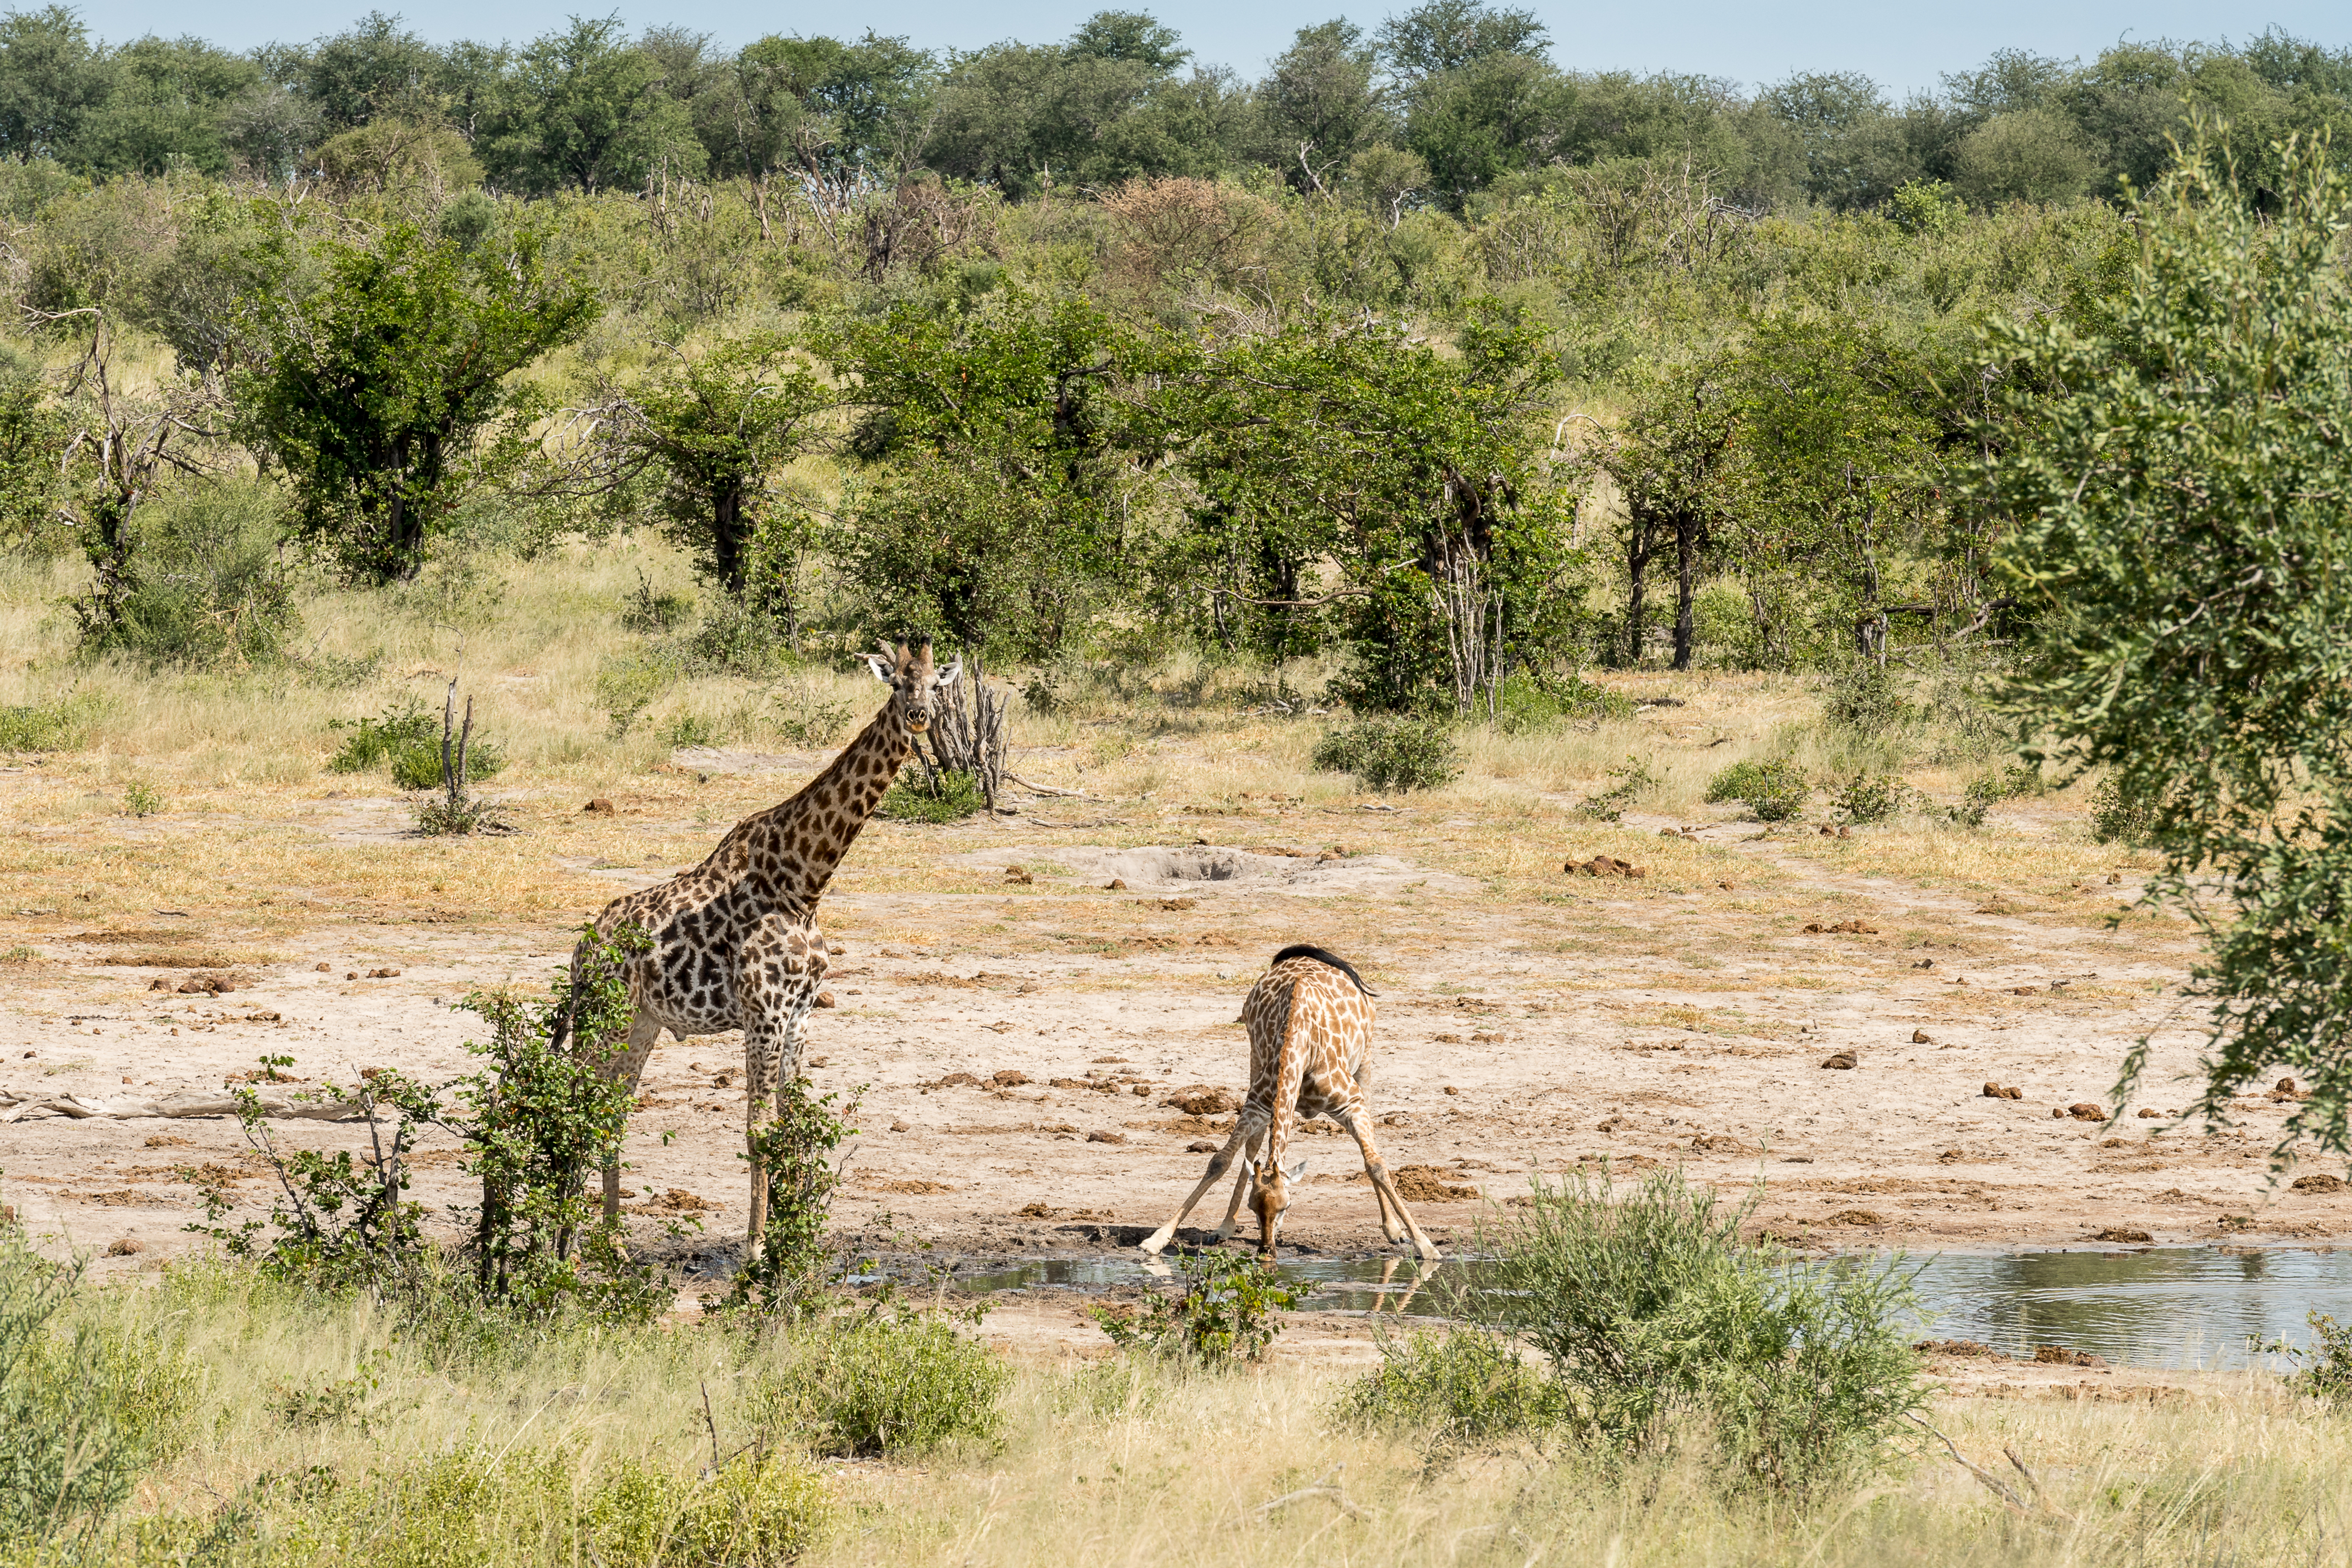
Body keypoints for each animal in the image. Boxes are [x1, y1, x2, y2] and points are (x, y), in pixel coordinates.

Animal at [574, 640, 959, 1249]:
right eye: (897, 684)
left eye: (935, 687)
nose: (920, 716)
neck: (803, 885)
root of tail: (580, 952)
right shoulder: (764, 1013)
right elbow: (760, 1131)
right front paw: (755, 1252)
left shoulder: (800, 1016)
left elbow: (794, 1128)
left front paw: (792, 1243)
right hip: (604, 1017)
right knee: (575, 1104)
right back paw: (556, 1238)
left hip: (642, 1021)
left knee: (610, 1110)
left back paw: (610, 1244)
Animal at [1138, 944, 1438, 1261]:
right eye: (1253, 1207)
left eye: (1287, 1206)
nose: (1266, 1250)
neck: (1302, 1045)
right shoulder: (1257, 1104)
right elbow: (1220, 1161)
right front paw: (1157, 1239)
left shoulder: (1351, 1103)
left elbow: (1376, 1164)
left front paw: (1424, 1244)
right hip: (1254, 1059)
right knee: (1253, 1146)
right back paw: (1225, 1227)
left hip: (1365, 1059)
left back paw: (1394, 1230)